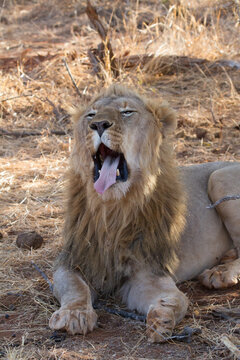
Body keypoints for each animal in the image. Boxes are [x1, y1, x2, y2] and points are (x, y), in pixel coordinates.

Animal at [48, 84, 240, 344]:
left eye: (127, 112)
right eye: (90, 115)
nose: (98, 125)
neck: (111, 210)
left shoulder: (147, 271)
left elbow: (176, 299)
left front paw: (163, 315)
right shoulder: (73, 260)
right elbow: (74, 287)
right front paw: (74, 315)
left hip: (218, 178)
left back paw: (220, 274)